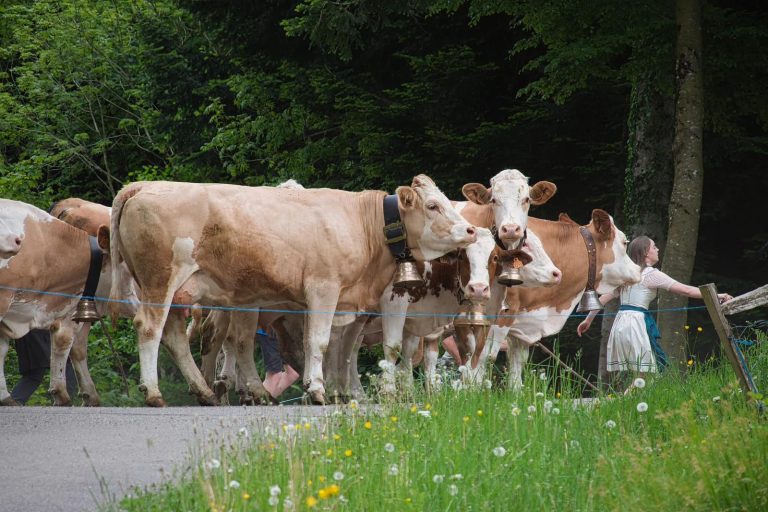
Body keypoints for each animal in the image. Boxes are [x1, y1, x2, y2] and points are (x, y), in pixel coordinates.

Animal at [107, 176, 477, 406]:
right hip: (160, 281)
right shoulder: (323, 288)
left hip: (173, 289)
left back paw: (206, 392)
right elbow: (321, 342)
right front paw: (318, 391)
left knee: (177, 337)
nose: (471, 230)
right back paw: (154, 393)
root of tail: (142, 186)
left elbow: (325, 347)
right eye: (432, 206)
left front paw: (325, 388)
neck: (363, 224)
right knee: (151, 329)